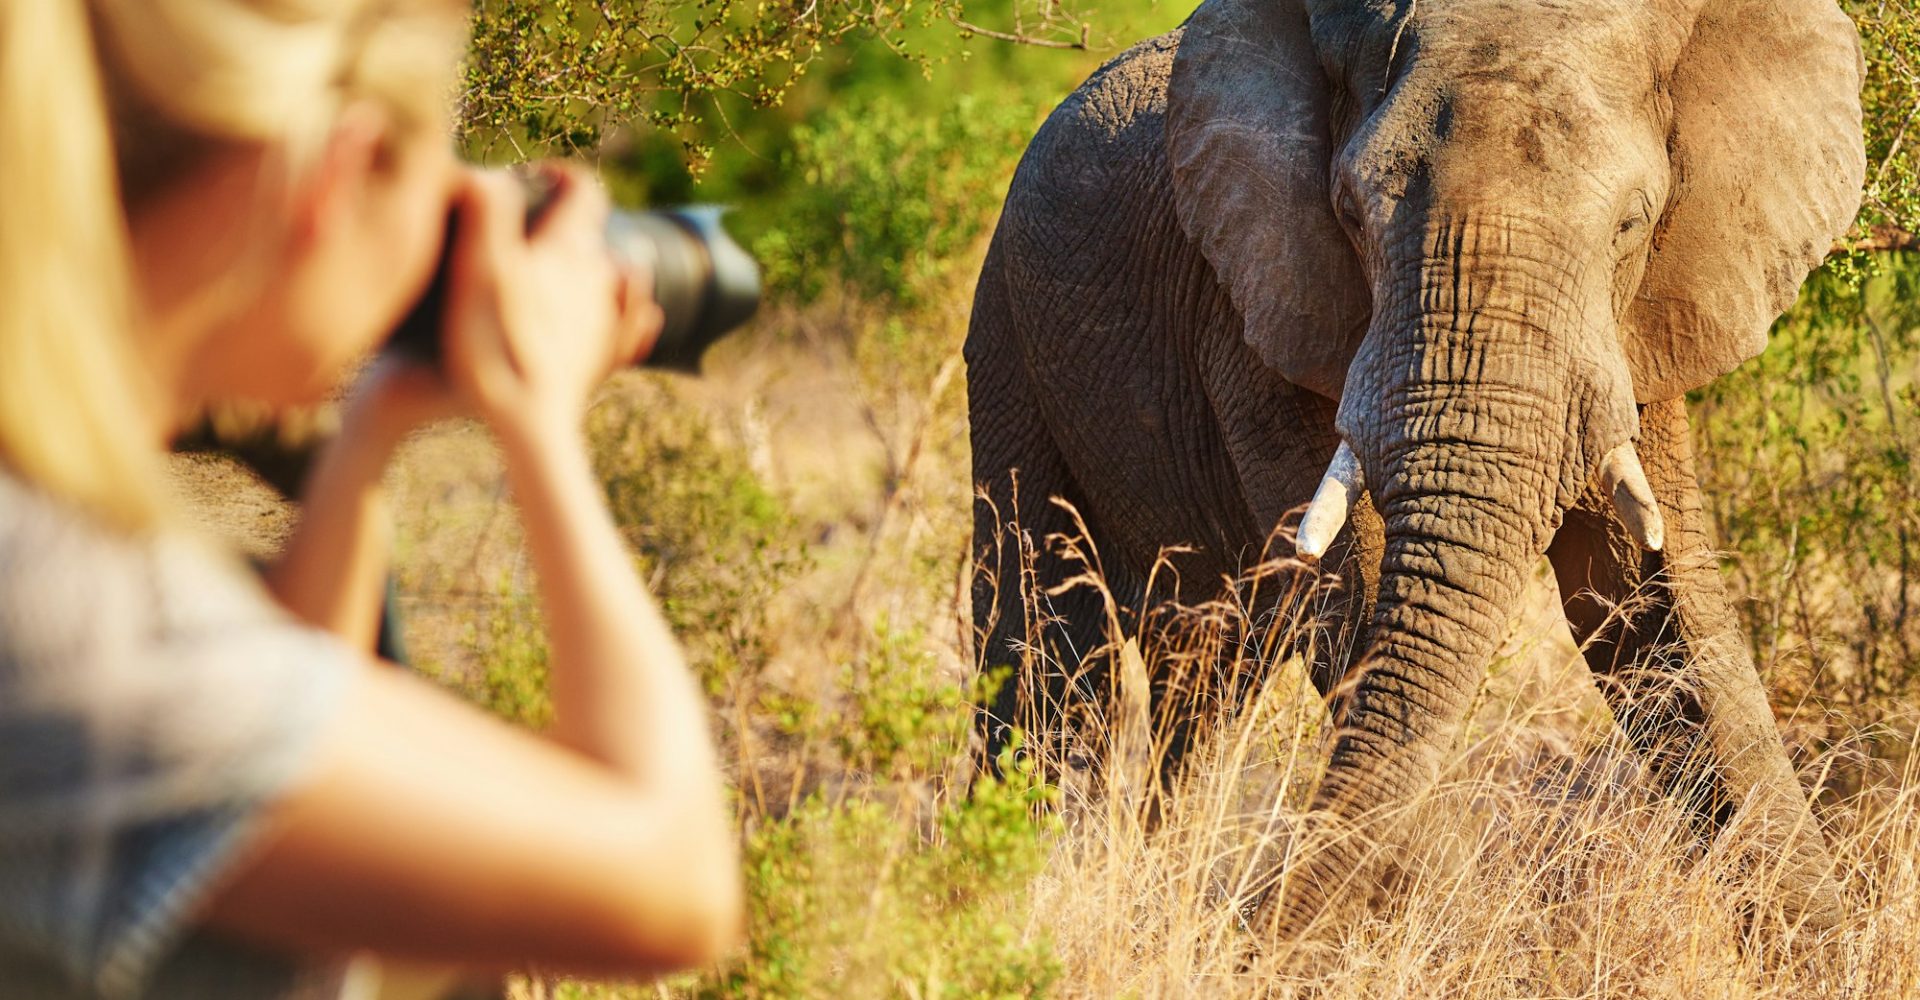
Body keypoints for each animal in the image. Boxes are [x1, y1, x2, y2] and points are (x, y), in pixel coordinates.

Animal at [965, 0, 1865, 934]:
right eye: (1350, 214)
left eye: (1631, 224)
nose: (1256, 934)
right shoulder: (1259, 302)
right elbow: (1360, 601)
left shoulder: (1641, 322)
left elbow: (1644, 605)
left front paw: (1817, 943)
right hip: (1006, 330)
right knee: (1050, 647)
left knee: (1204, 671)